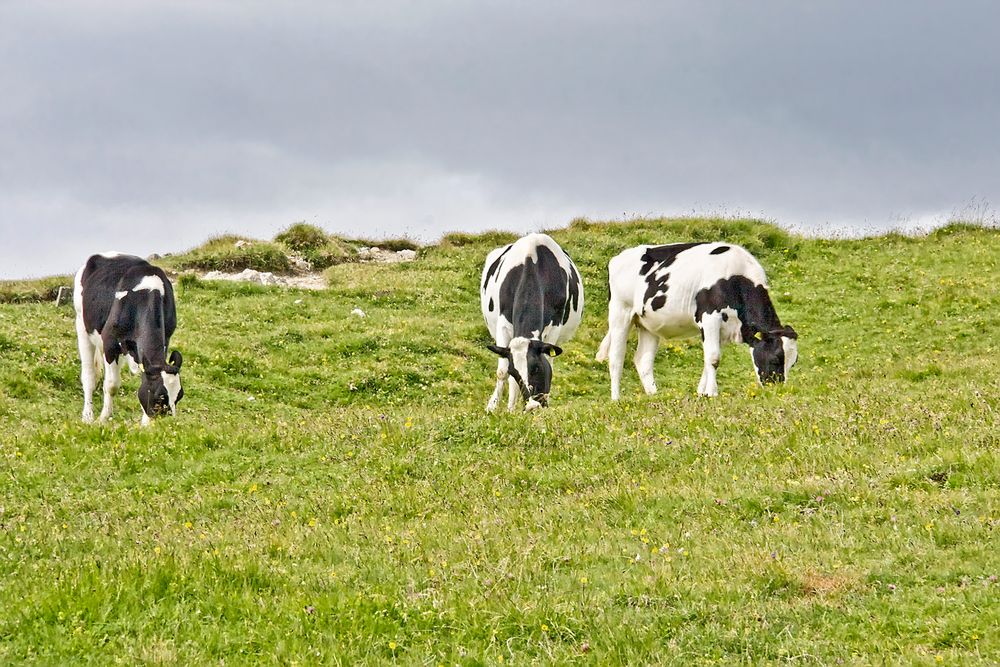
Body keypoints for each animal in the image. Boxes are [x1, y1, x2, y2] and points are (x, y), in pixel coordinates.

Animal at [75, 253, 185, 426]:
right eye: (159, 397)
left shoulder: (166, 338)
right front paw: (103, 418)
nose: (169, 425)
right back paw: (87, 415)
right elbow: (111, 385)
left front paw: (145, 423)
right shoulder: (110, 343)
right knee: (88, 376)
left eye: (179, 396)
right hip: (81, 323)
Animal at [478, 235, 584, 412]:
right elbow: (502, 372)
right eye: (514, 372)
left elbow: (549, 362)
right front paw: (494, 407)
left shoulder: (554, 327)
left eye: (536, 368)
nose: (533, 405)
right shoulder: (503, 324)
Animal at [592, 245, 796, 402]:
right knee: (616, 357)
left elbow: (709, 359)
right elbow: (713, 358)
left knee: (643, 360)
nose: (778, 390)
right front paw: (712, 393)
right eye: (776, 359)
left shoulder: (721, 328)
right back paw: (616, 399)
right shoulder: (710, 317)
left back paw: (654, 396)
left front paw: (702, 393)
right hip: (620, 313)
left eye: (793, 363)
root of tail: (618, 258)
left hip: (648, 324)